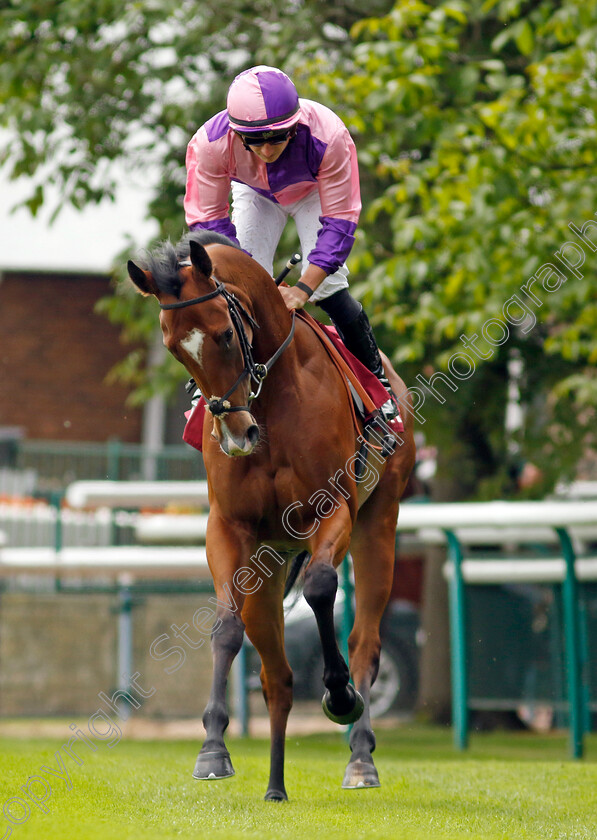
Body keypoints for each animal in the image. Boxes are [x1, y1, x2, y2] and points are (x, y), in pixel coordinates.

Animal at [125, 230, 414, 800]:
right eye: (173, 348)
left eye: (223, 335)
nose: (237, 435)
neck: (274, 396)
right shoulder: (229, 529)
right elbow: (224, 627)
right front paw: (212, 749)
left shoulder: (334, 511)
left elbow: (322, 588)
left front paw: (339, 695)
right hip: (268, 563)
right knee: (275, 676)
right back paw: (275, 785)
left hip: (378, 527)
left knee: (365, 643)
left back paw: (360, 756)